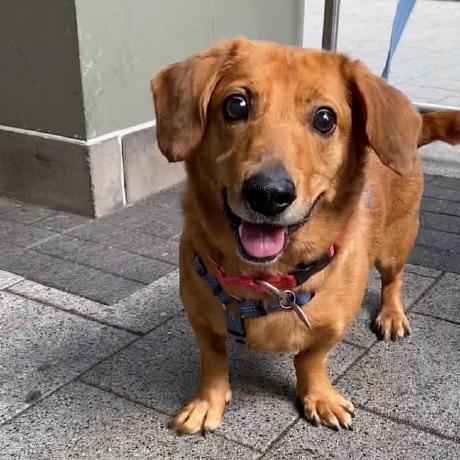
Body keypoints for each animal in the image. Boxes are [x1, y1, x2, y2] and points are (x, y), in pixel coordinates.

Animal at [151, 38, 460, 434]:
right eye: (236, 105)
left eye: (325, 119)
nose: (268, 194)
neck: (269, 281)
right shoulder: (203, 323)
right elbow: (213, 361)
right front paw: (208, 401)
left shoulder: (330, 329)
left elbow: (310, 361)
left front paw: (319, 397)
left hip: (396, 244)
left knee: (394, 280)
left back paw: (391, 314)